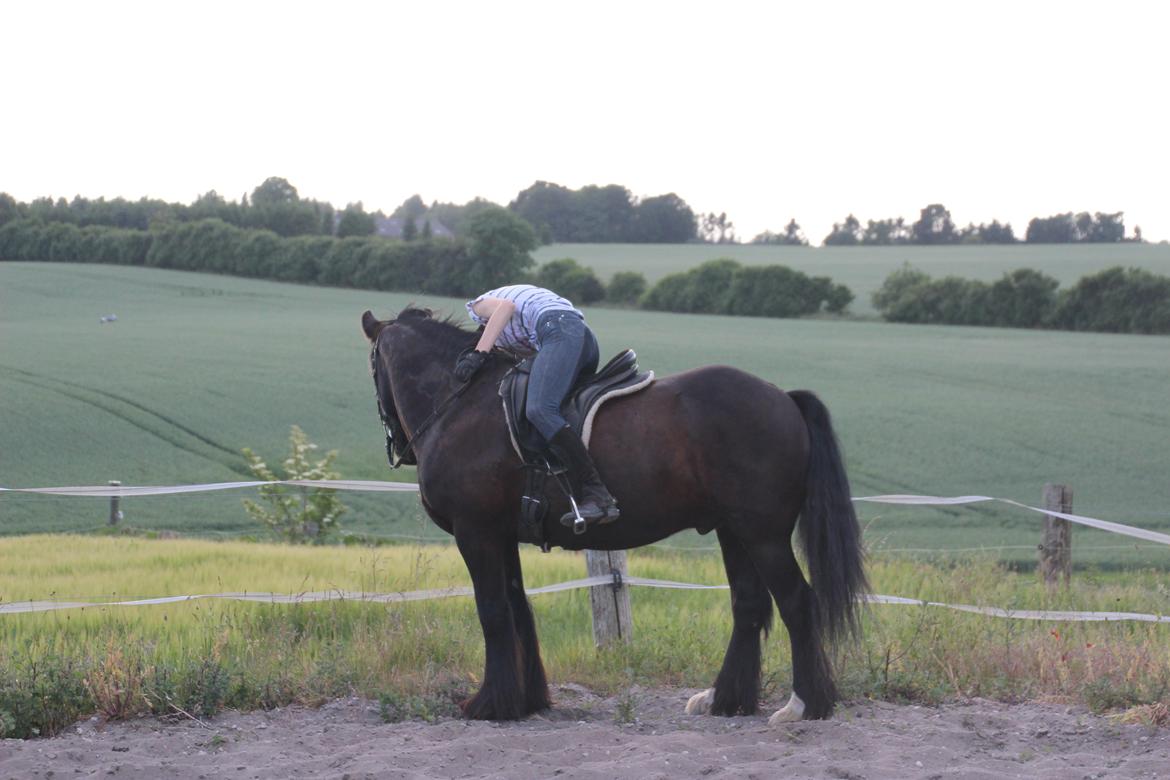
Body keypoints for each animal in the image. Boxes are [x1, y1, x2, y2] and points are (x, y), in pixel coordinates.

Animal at [360, 306, 865, 725]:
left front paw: (491, 704)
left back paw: (803, 705)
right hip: (734, 531)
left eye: (372, 368)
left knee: (797, 602)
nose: (397, 446)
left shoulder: (476, 533)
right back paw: (725, 700)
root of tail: (783, 398)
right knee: (750, 604)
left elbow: (493, 612)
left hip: (763, 535)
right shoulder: (502, 536)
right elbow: (518, 607)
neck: (461, 404)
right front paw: (526, 700)